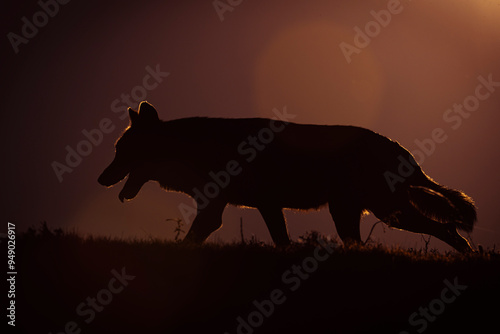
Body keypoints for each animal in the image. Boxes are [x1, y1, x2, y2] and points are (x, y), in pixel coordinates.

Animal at [97, 100, 476, 252]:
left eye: (120, 150)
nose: (101, 179)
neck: (192, 148)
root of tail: (405, 152)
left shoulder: (216, 207)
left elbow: (194, 235)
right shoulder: (267, 206)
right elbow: (282, 241)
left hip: (388, 213)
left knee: (448, 230)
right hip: (349, 214)